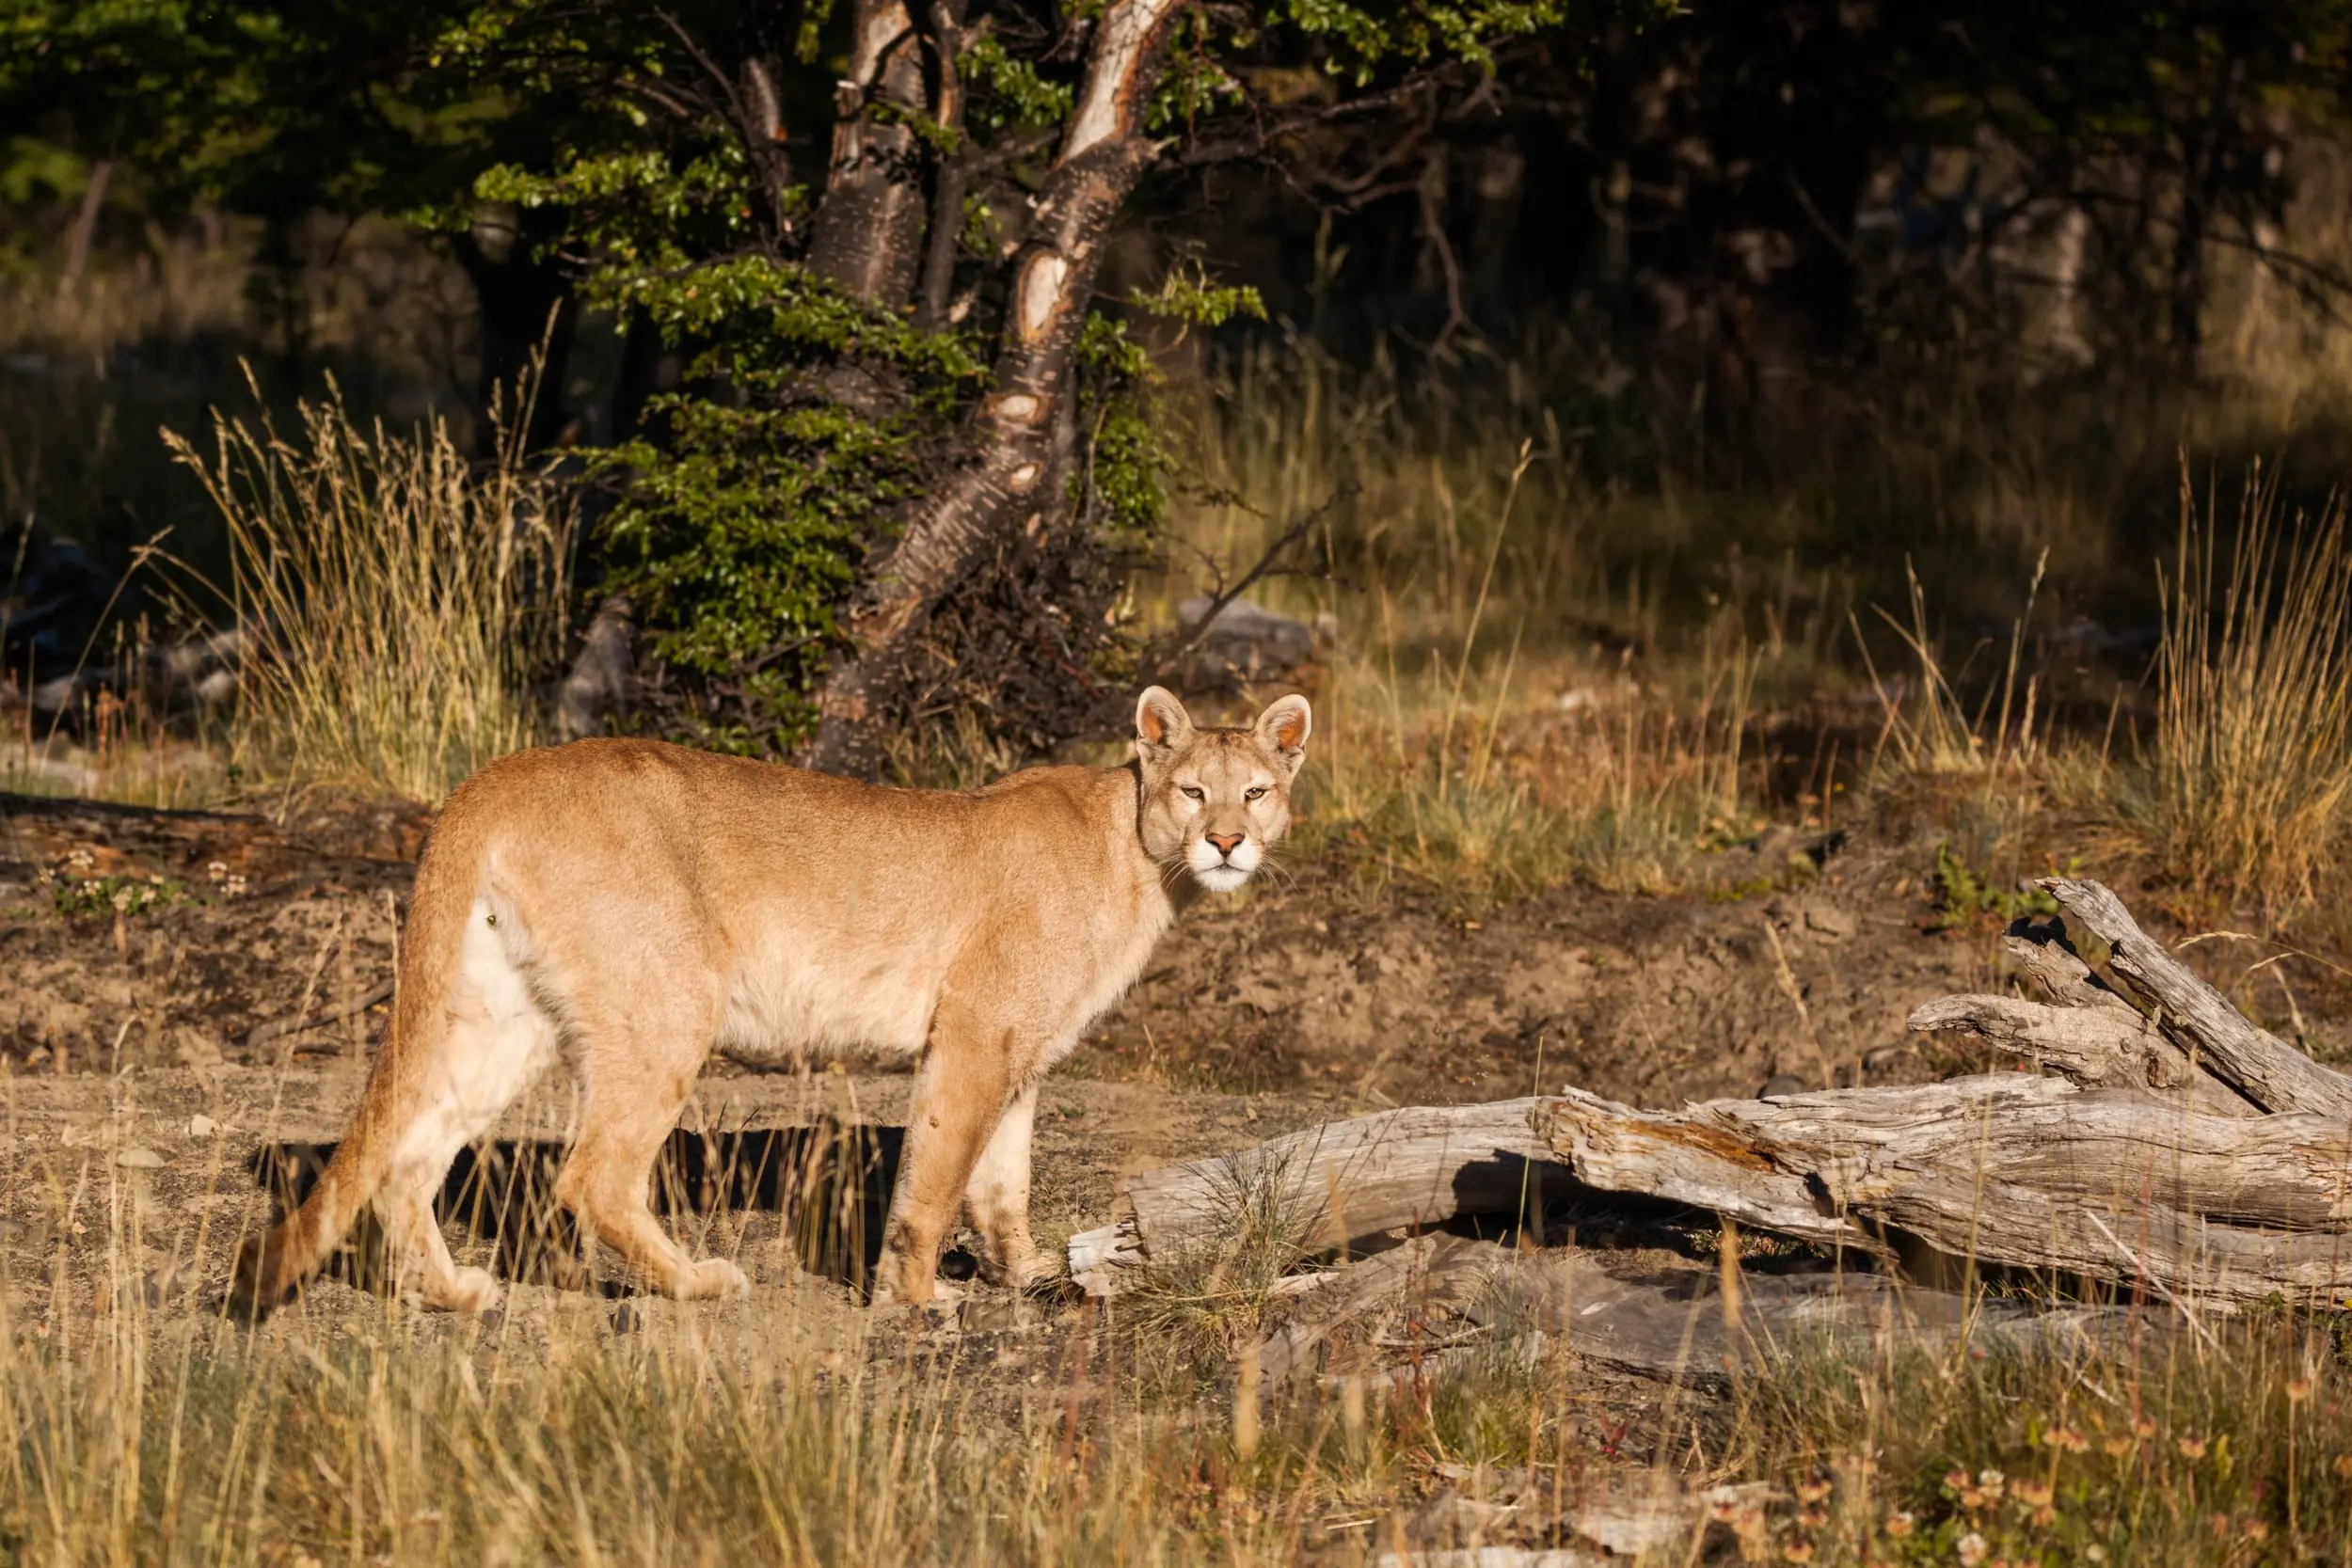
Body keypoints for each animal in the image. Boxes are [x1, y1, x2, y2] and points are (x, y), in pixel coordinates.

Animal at [232, 686, 1310, 1312]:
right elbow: (934, 1179)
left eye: (1256, 790)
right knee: (590, 1176)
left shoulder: (1020, 1053)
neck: (1137, 856)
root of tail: (492, 776)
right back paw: (696, 1282)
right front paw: (916, 1299)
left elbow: (1000, 1180)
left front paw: (1026, 1271)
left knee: (409, 1158)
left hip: (505, 1017)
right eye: (1192, 790)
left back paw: (455, 1293)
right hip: (669, 1001)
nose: (1225, 841)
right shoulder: (972, 1034)